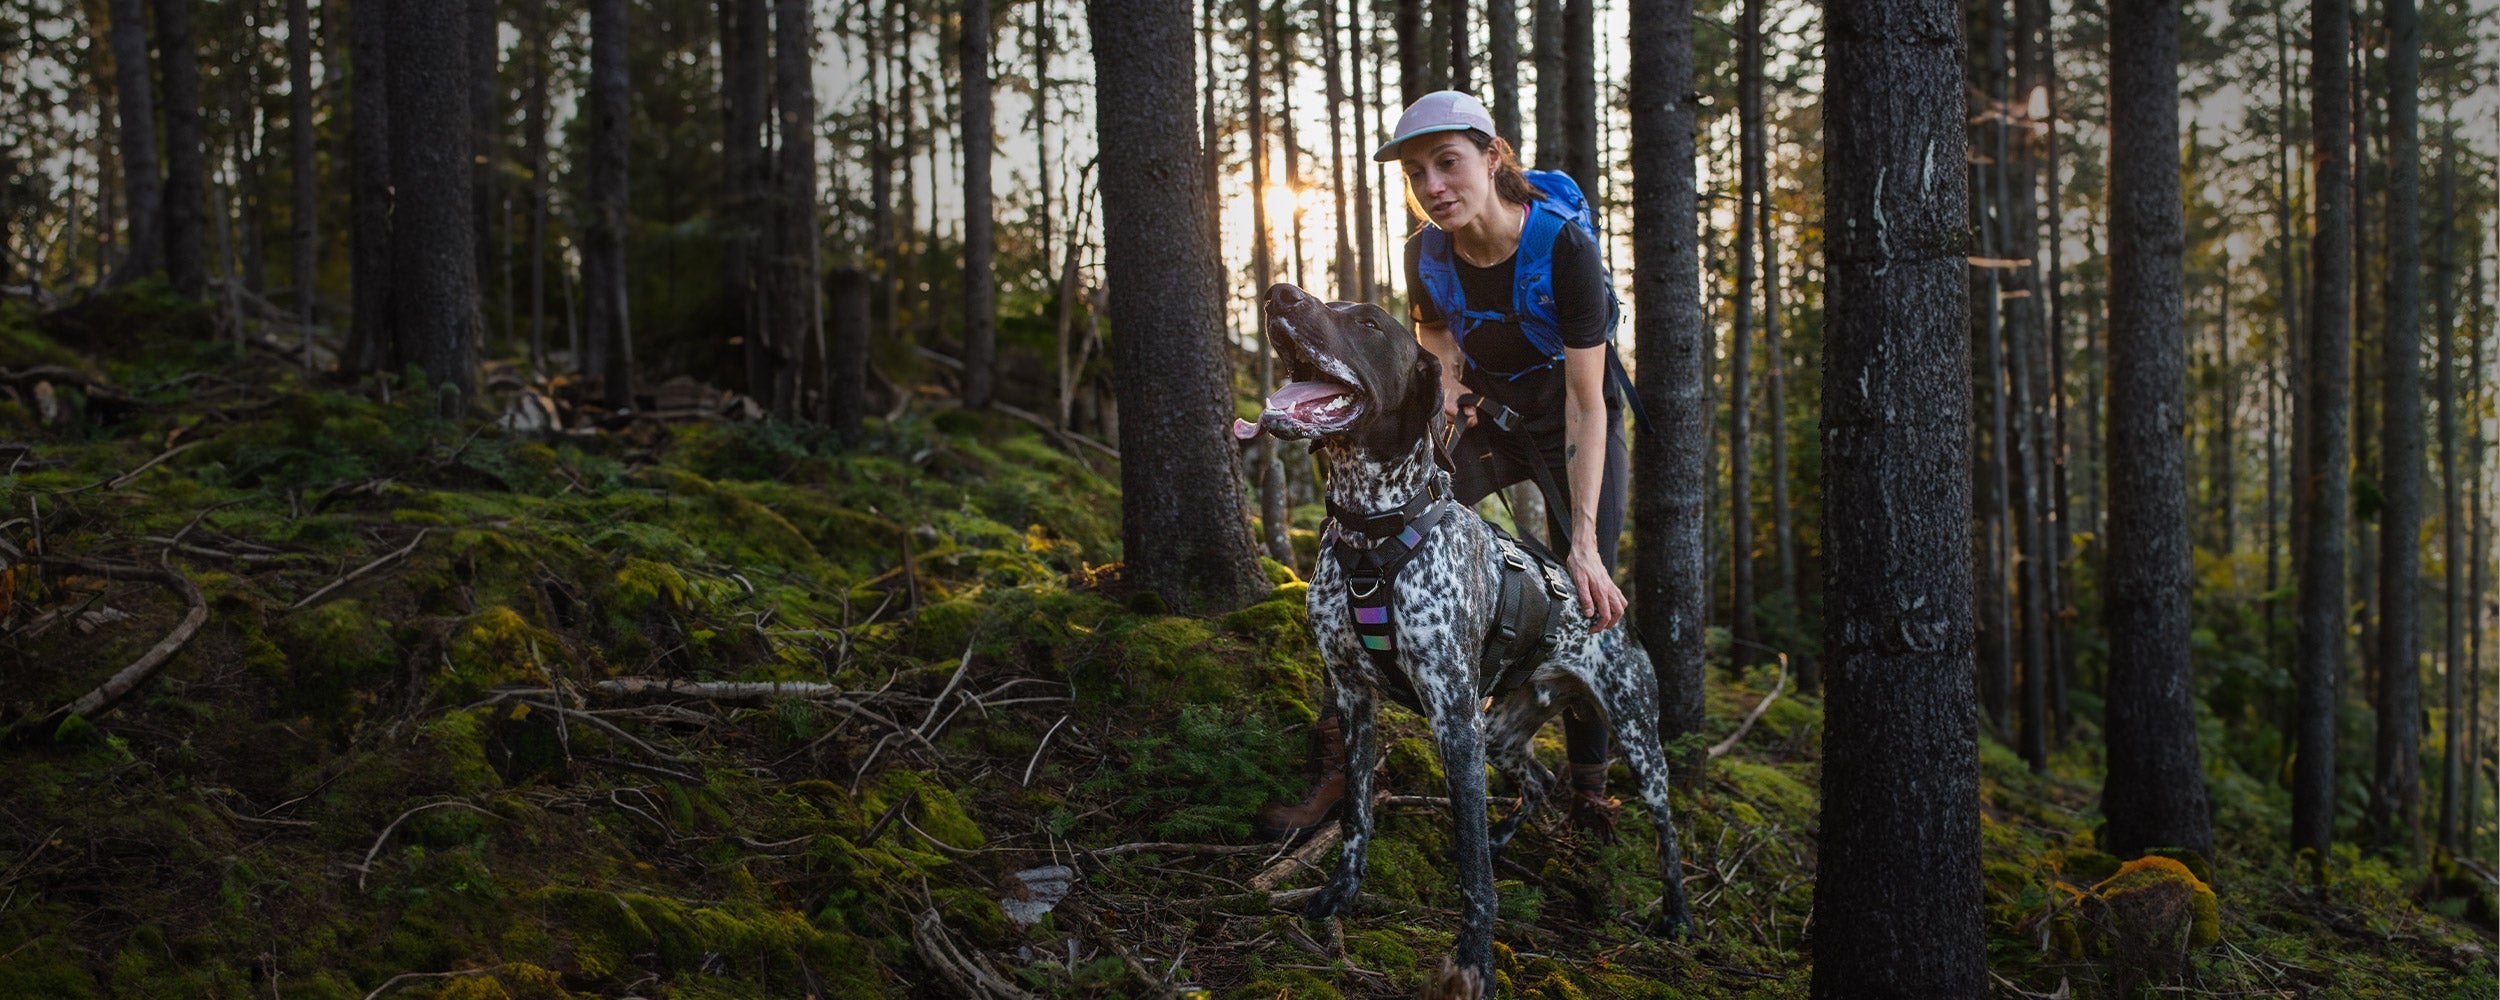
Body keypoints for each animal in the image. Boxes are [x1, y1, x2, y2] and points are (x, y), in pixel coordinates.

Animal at [1235, 281, 1700, 990]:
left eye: (1368, 324)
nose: (1279, 293)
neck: (1373, 535)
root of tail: (1604, 598)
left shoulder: (1455, 717)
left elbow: (1470, 865)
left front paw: (1475, 957)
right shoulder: (1352, 695)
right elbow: (1356, 815)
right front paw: (1337, 896)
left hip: (1634, 736)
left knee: (1665, 829)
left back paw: (1675, 913)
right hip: (1505, 732)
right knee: (1539, 780)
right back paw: (1509, 835)